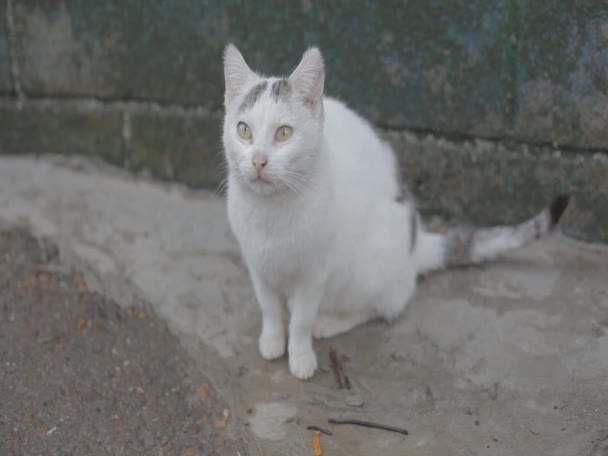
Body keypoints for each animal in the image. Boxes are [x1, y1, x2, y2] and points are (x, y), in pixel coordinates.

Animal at [220, 45, 568, 382]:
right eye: (244, 131)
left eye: (283, 134)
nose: (259, 160)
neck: (271, 213)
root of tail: (414, 249)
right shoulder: (257, 263)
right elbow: (268, 307)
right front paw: (272, 339)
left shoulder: (315, 272)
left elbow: (302, 319)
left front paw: (301, 354)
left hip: (370, 264)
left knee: (383, 305)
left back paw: (330, 321)